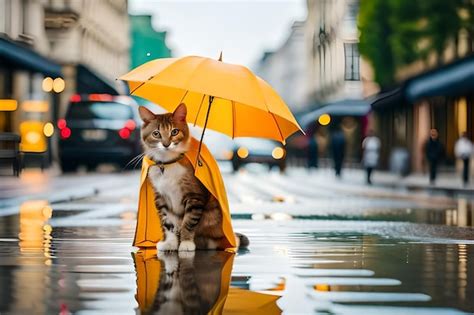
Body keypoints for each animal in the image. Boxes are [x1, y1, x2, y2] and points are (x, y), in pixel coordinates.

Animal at [137, 105, 248, 253]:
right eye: (156, 133)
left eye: (174, 131)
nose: (166, 144)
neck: (168, 163)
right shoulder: (161, 197)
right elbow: (168, 222)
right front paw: (170, 243)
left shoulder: (194, 195)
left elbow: (189, 221)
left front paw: (186, 243)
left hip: (212, 217)